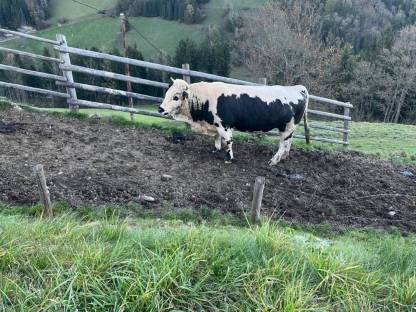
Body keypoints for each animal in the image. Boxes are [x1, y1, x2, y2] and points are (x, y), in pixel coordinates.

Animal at [159, 78, 308, 166]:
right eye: (166, 93)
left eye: (176, 97)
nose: (160, 109)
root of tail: (298, 88)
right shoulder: (216, 126)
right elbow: (217, 139)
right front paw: (215, 150)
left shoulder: (224, 125)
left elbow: (228, 141)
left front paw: (228, 158)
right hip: (289, 128)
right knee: (288, 143)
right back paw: (284, 158)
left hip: (287, 127)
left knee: (283, 144)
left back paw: (273, 161)